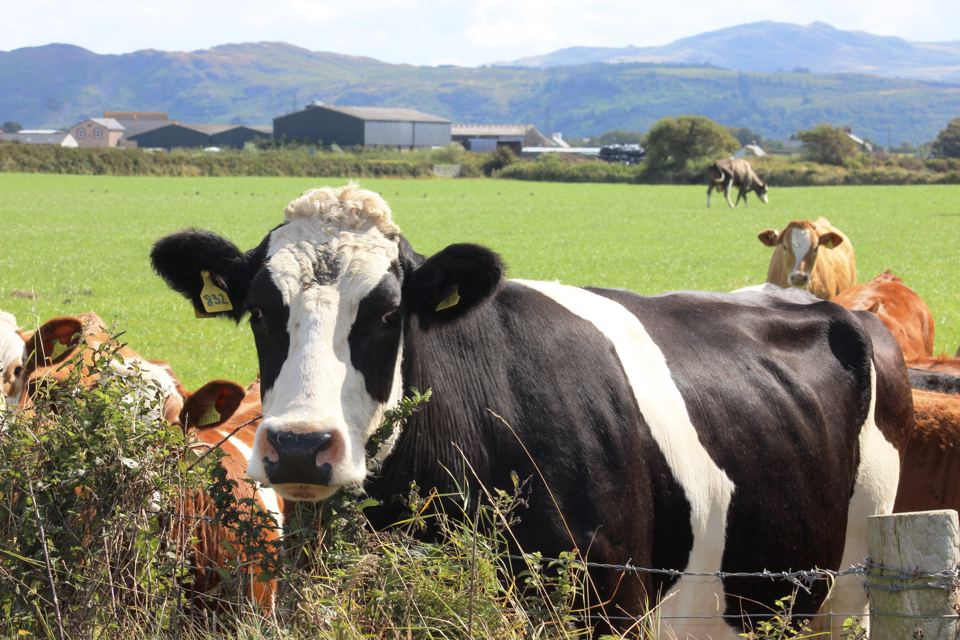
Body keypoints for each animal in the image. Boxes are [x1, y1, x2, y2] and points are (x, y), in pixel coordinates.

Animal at [151, 184, 911, 638]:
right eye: (259, 311)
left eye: (390, 314)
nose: (302, 447)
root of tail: (837, 309)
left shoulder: (608, 606)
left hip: (852, 585)